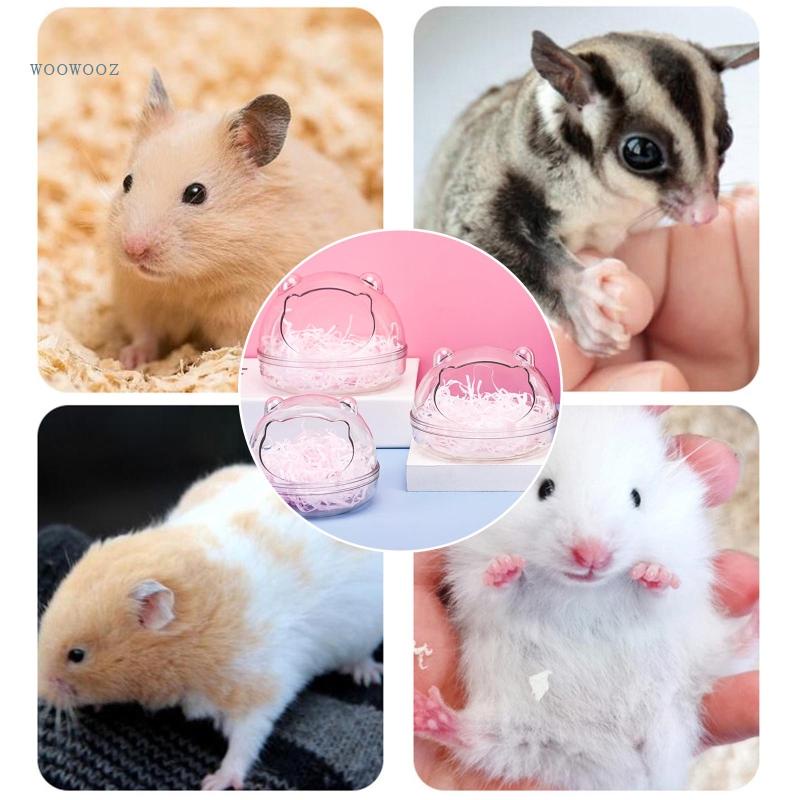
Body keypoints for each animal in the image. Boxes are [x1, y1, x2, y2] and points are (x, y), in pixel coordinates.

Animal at [38, 465, 383, 790]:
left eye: (77, 655)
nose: (41, 693)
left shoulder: (259, 683)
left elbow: (247, 738)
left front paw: (215, 783)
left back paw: (366, 675)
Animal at [109, 71, 379, 368]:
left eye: (196, 193)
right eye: (127, 181)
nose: (133, 250)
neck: (189, 282)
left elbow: (231, 346)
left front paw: (199, 361)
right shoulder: (141, 297)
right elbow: (145, 334)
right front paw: (128, 359)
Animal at [414, 407, 756, 789]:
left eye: (636, 497)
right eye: (545, 489)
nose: (592, 555)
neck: (582, 593)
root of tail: (624, 764)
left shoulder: (685, 569)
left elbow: (664, 591)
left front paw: (652, 573)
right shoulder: (469, 574)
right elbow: (492, 587)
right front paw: (507, 566)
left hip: (696, 653)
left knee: (729, 651)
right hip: (518, 735)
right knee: (475, 741)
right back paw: (426, 714)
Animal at [418, 32, 758, 356]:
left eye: (727, 136)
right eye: (641, 151)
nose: (706, 213)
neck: (605, 198)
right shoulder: (491, 177)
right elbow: (474, 227)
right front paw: (581, 298)